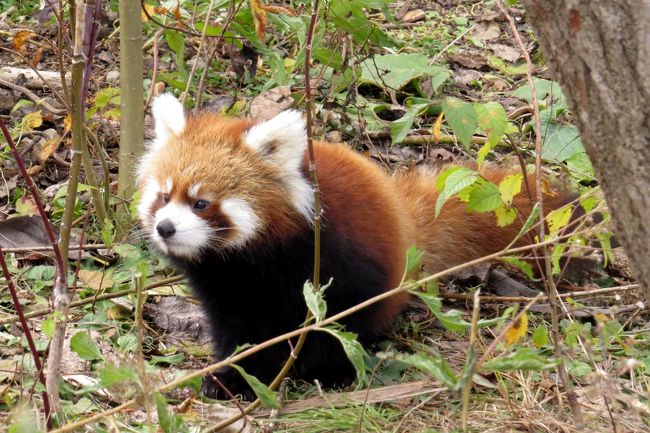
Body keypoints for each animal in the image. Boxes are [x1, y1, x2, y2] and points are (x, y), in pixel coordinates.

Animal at [138, 93, 572, 398]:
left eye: (200, 203)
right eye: (164, 197)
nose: (165, 228)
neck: (253, 259)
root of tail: (401, 211)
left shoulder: (335, 259)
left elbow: (343, 317)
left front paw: (331, 371)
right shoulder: (225, 284)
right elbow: (238, 330)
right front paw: (233, 377)